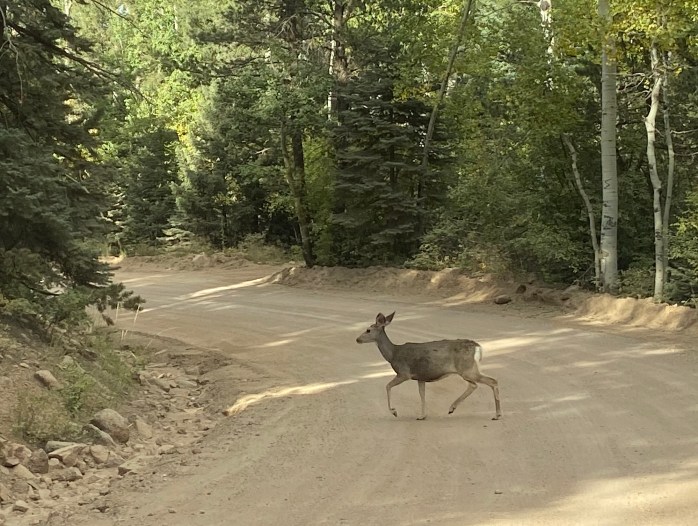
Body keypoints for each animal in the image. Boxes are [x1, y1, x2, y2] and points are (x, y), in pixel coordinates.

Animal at [356, 312, 502, 421]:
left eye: (368, 330)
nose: (357, 339)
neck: (393, 355)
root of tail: (478, 346)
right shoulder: (420, 377)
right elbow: (422, 394)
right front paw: (422, 416)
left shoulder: (404, 373)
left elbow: (387, 386)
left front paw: (394, 411)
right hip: (467, 370)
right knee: (474, 385)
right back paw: (452, 408)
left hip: (467, 369)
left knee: (492, 381)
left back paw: (497, 415)